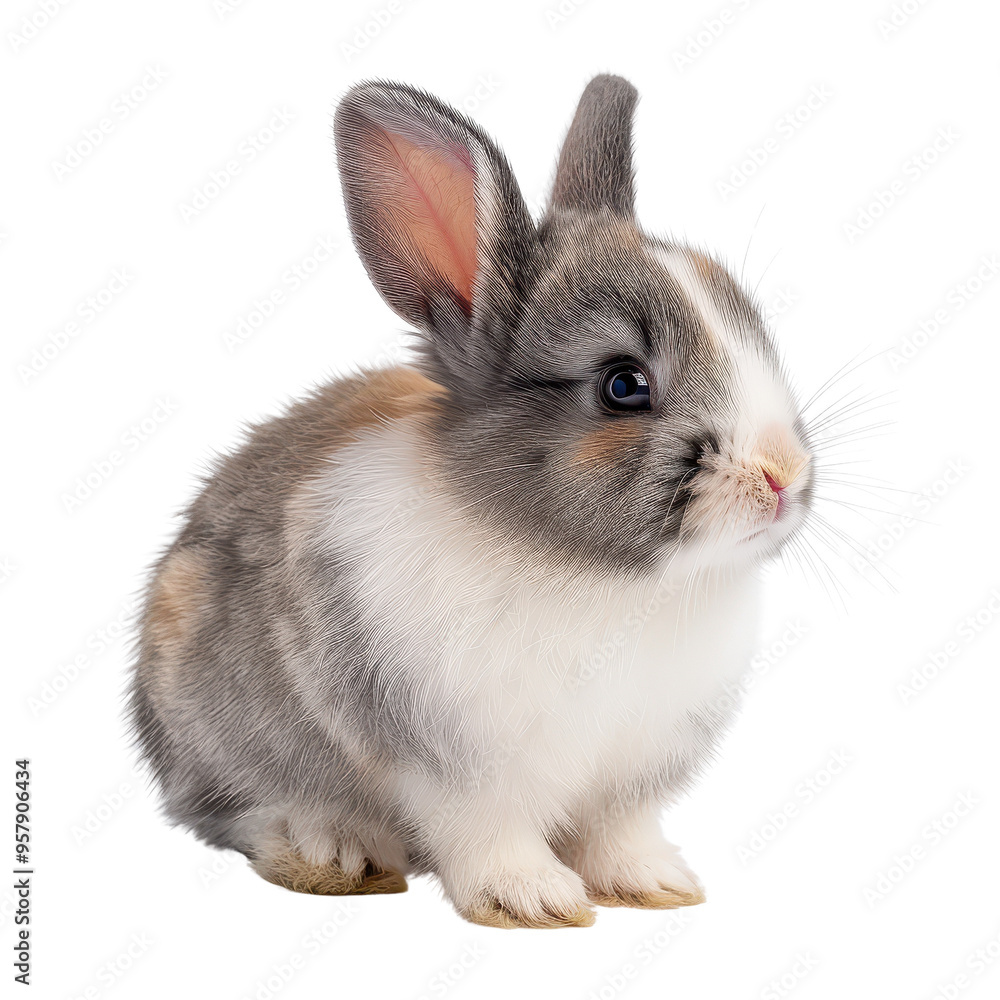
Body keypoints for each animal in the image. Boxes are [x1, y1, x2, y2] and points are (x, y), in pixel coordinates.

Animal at [128, 74, 814, 929]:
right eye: (622, 385)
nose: (782, 476)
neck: (598, 574)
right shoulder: (455, 766)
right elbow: (488, 832)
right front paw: (535, 901)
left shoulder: (629, 780)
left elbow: (618, 832)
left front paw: (655, 885)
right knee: (232, 807)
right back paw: (333, 851)